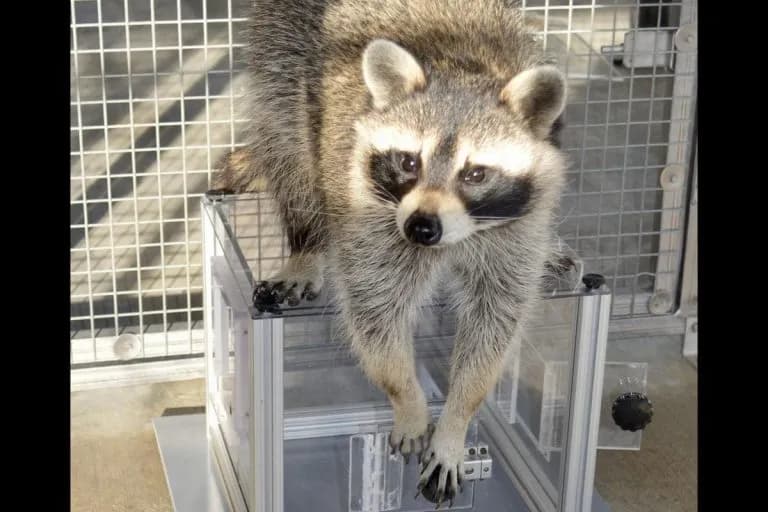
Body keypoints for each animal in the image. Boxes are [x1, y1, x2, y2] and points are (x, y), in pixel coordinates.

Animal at [212, 0, 568, 505]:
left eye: (476, 173)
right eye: (408, 161)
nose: (421, 227)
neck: (461, 67)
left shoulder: (516, 231)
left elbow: (494, 321)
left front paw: (457, 418)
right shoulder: (370, 215)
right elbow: (375, 312)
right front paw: (408, 400)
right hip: (282, 54)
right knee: (291, 148)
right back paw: (306, 243)